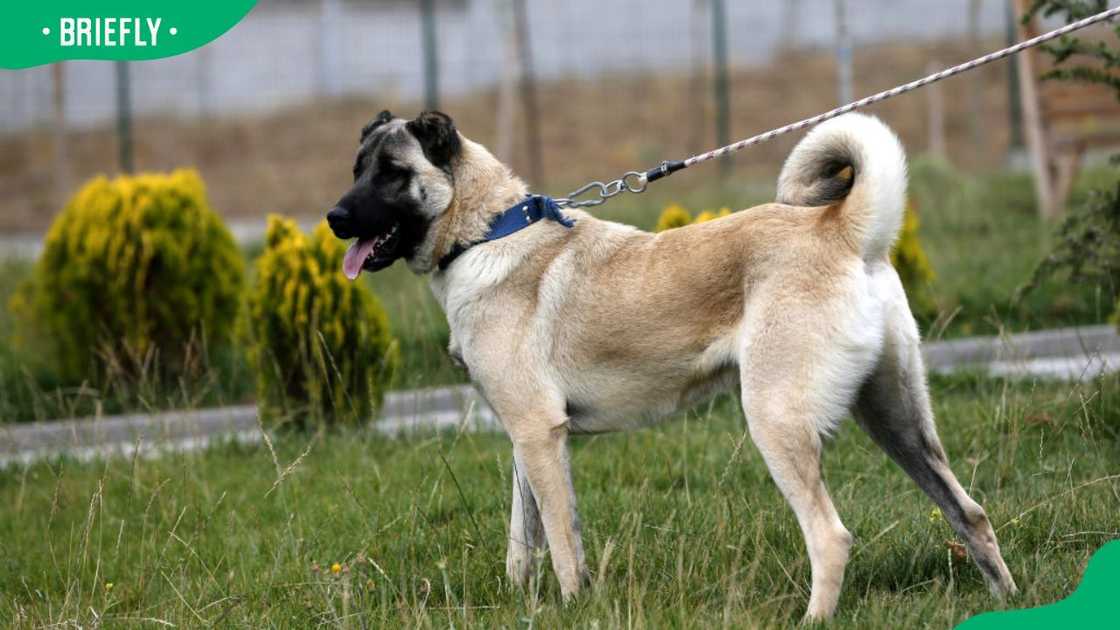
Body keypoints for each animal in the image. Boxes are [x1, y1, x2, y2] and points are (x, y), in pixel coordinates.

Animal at [324, 110, 1016, 614]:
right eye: (356, 168)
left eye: (392, 172)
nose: (333, 217)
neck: (485, 232)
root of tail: (841, 227)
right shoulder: (526, 440)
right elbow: (524, 540)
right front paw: (524, 599)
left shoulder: (540, 436)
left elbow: (563, 542)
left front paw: (573, 605)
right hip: (898, 422)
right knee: (970, 512)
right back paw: (1009, 598)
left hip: (777, 422)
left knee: (831, 537)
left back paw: (816, 618)